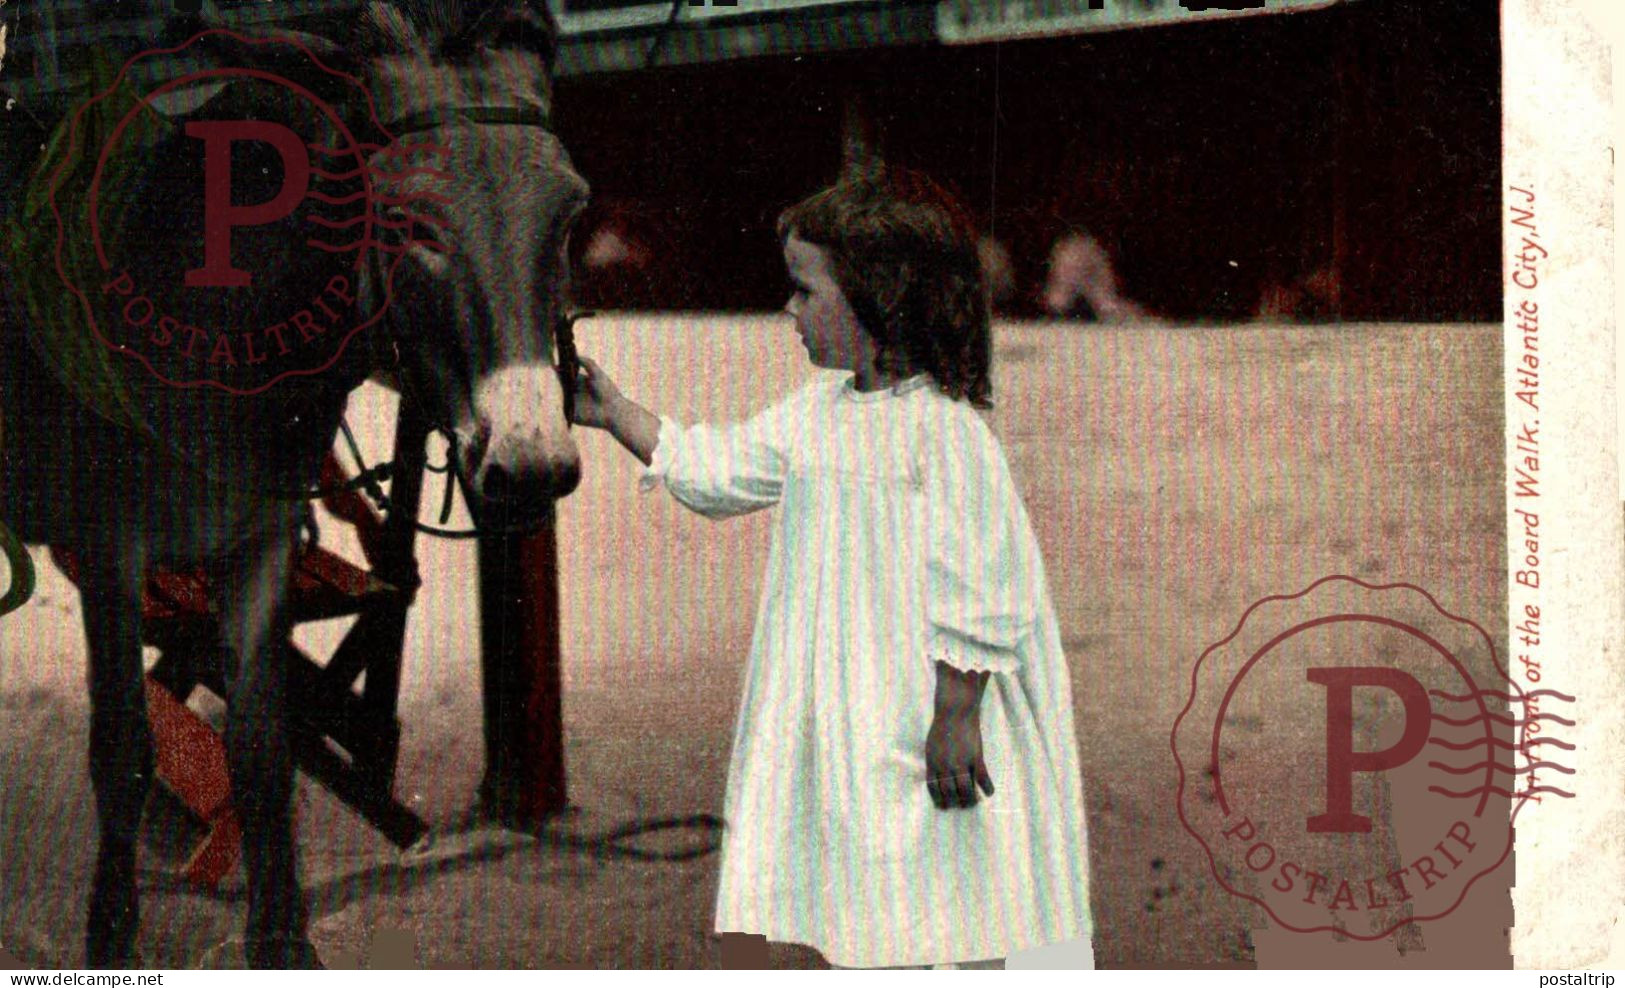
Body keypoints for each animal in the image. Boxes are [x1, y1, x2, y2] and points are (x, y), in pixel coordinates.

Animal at [0, 0, 585, 968]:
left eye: (572, 210)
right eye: (408, 221)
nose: (531, 464)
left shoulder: (259, 546)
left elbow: (261, 747)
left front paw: (281, 941)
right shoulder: (112, 553)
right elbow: (121, 750)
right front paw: (110, 937)